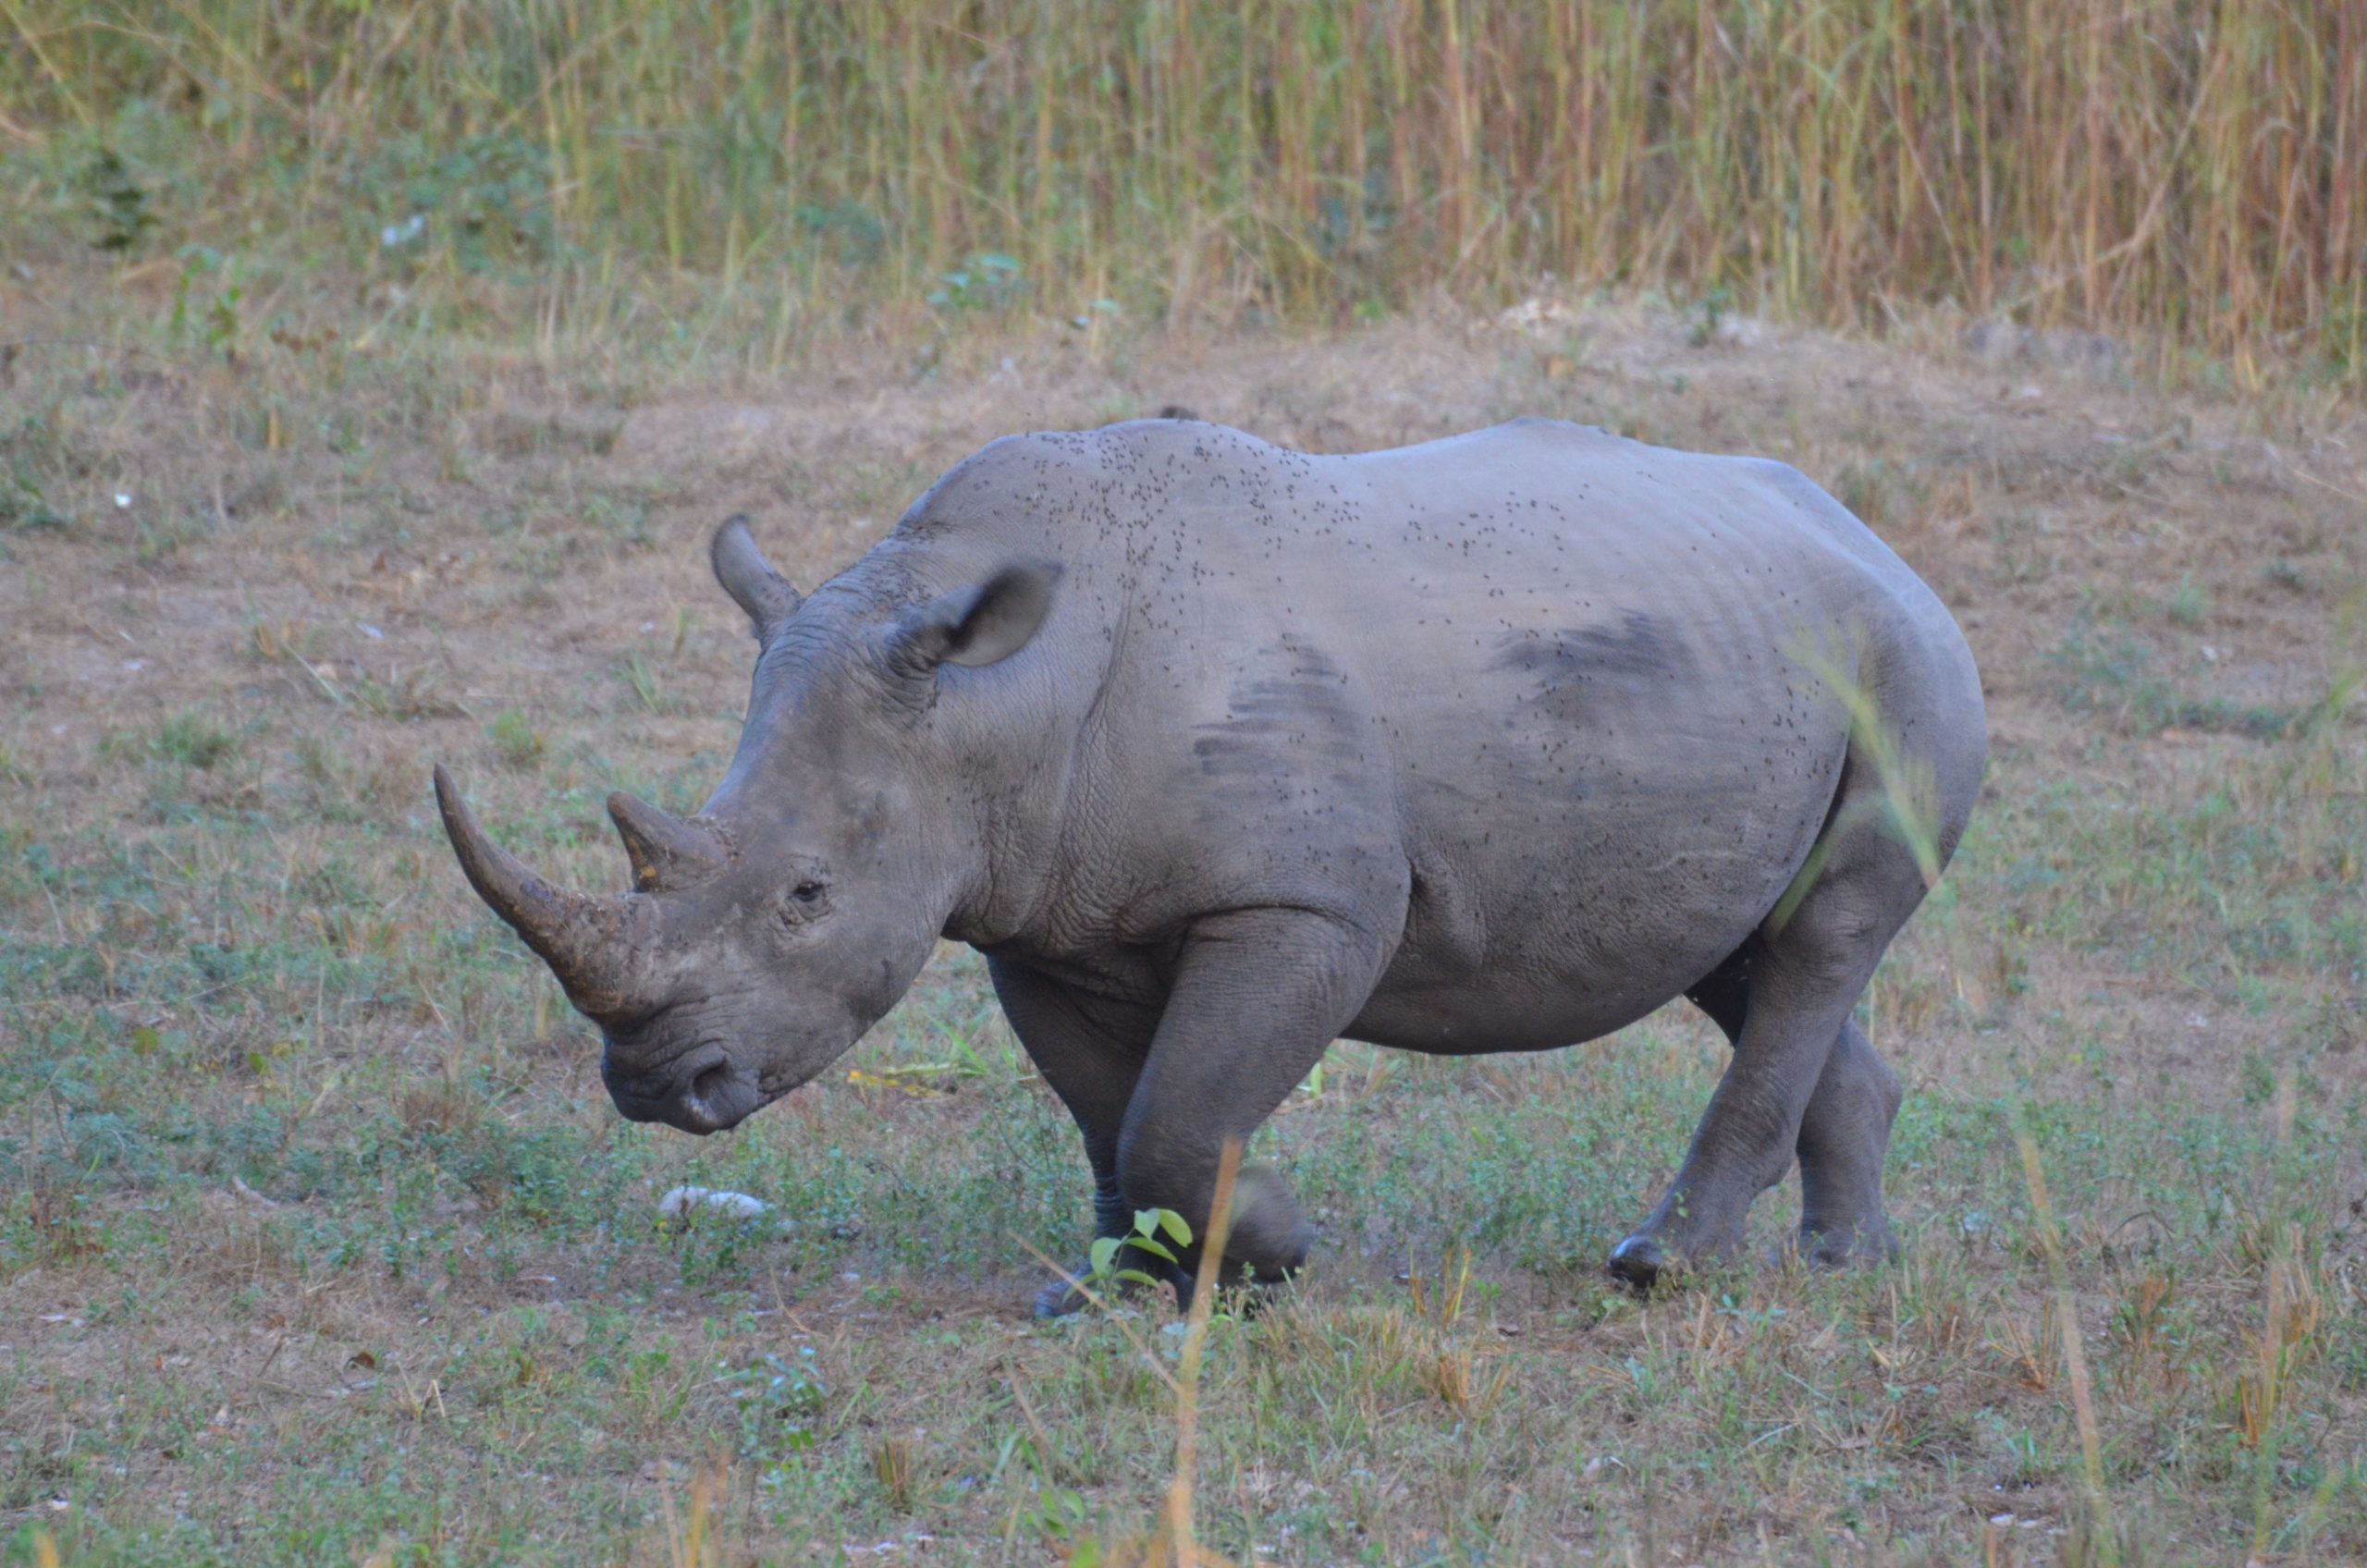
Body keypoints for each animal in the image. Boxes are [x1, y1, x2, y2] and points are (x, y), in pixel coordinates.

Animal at [434, 417, 1985, 1307]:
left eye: (806, 897)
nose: (658, 1086)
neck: (998, 699)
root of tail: (1868, 529)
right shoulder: (1039, 915)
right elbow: (1106, 1112)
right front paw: (1118, 1291)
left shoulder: (1304, 903)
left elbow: (1177, 1112)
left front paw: (1275, 1246)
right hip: (1751, 661)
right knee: (1740, 955)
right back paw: (1846, 1267)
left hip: (1901, 658)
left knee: (1818, 938)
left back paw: (1661, 1270)